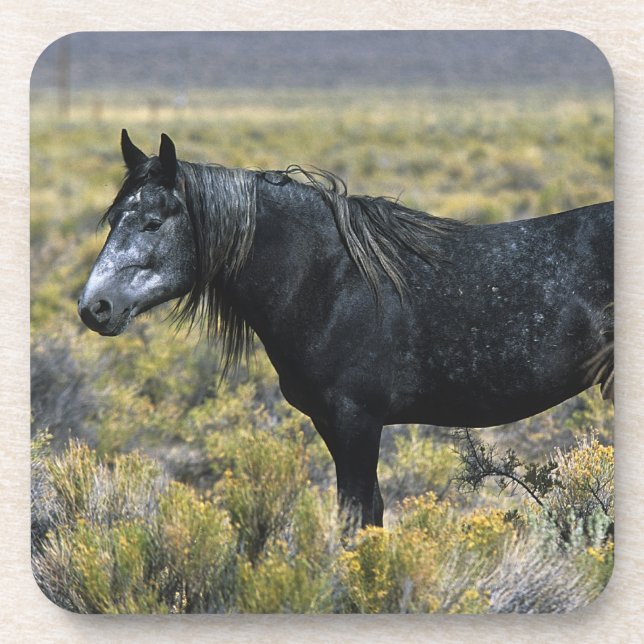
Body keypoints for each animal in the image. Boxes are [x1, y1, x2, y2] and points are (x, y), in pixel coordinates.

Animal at [78, 130, 614, 527]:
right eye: (113, 218)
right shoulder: (331, 424)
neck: (329, 279)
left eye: (152, 221)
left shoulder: (358, 421)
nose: (94, 307)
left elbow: (356, 519)